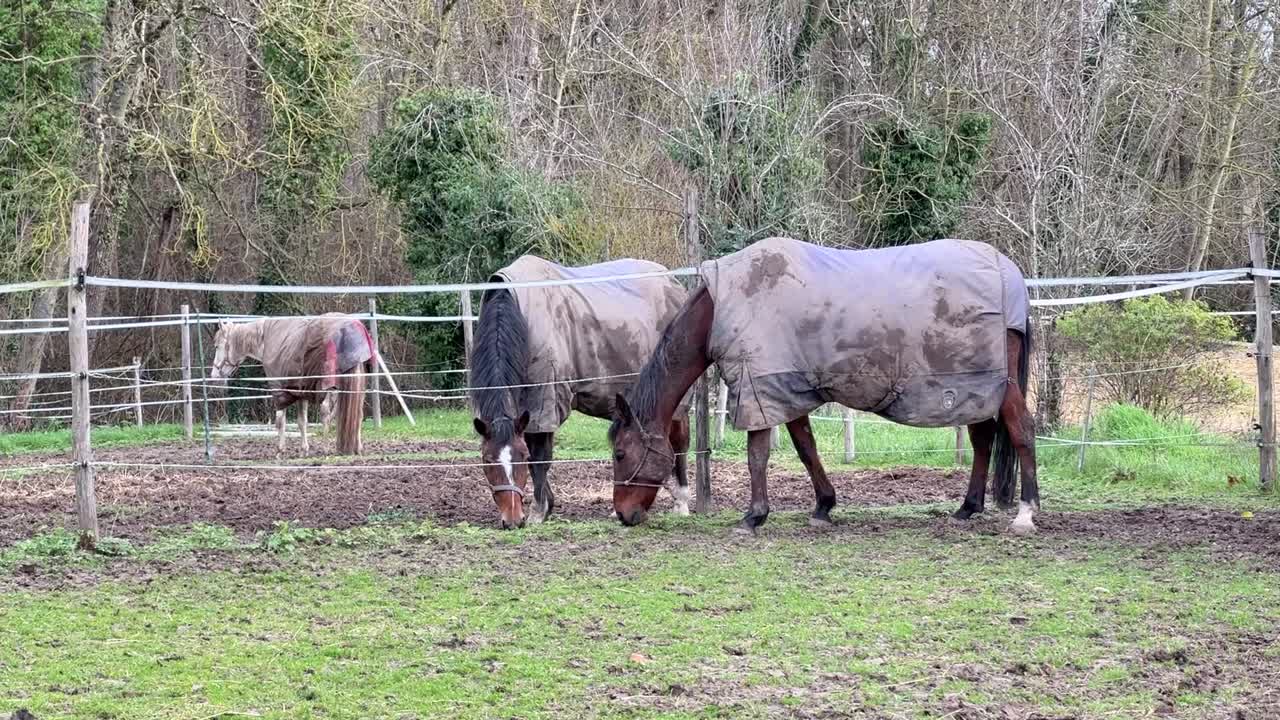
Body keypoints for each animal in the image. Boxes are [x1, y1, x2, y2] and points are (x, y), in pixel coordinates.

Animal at [210, 313, 372, 455]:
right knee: (358, 413)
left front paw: (280, 450)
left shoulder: (279, 390)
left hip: (328, 387)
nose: (214, 376)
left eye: (217, 346)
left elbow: (280, 421)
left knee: (326, 414)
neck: (264, 338)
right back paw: (358, 448)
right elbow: (302, 422)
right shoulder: (301, 392)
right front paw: (304, 450)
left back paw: (327, 448)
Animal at [471, 256, 691, 529]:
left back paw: (681, 503)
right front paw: (546, 505)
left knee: (680, 443)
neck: (522, 313)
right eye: (487, 460)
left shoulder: (547, 399)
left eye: (520, 457)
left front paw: (538, 511)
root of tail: (672, 282)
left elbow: (541, 458)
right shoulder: (531, 407)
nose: (512, 521)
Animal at [609, 237, 1039, 535]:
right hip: (975, 390)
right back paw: (968, 507)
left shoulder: (758, 388)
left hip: (996, 387)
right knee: (983, 439)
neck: (724, 307)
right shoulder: (786, 389)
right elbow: (806, 448)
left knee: (1021, 431)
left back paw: (1025, 513)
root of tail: (1011, 276)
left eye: (619, 453)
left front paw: (753, 516)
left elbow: (757, 456)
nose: (624, 514)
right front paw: (823, 506)